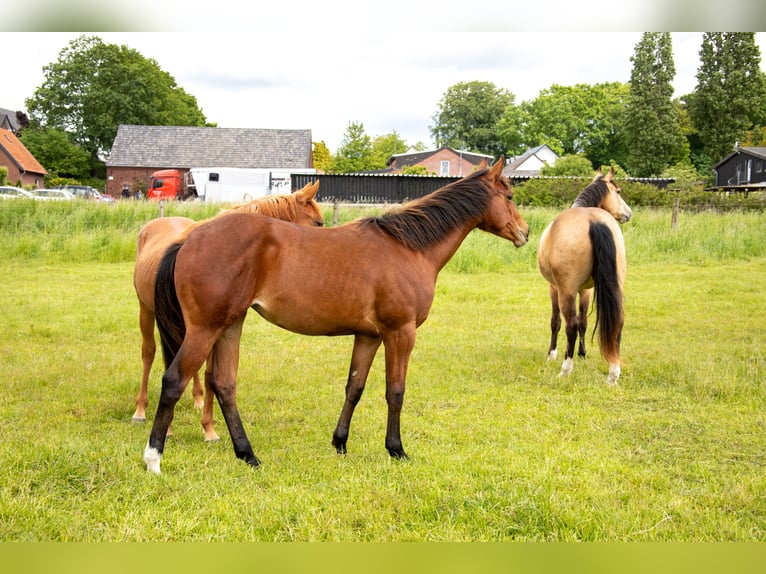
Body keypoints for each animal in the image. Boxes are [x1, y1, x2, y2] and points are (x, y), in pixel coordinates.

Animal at [131, 181, 323, 441]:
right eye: (318, 222)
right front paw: (168, 428)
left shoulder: (214, 327)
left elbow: (210, 373)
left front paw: (208, 428)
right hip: (147, 311)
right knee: (149, 353)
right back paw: (140, 410)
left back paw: (197, 400)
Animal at [536, 168, 632, 386]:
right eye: (618, 192)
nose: (628, 213)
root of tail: (593, 220)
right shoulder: (587, 289)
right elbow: (584, 323)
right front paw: (582, 353)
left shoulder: (554, 288)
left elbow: (556, 322)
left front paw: (551, 354)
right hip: (614, 286)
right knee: (618, 322)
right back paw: (613, 374)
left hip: (566, 292)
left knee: (570, 325)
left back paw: (565, 369)